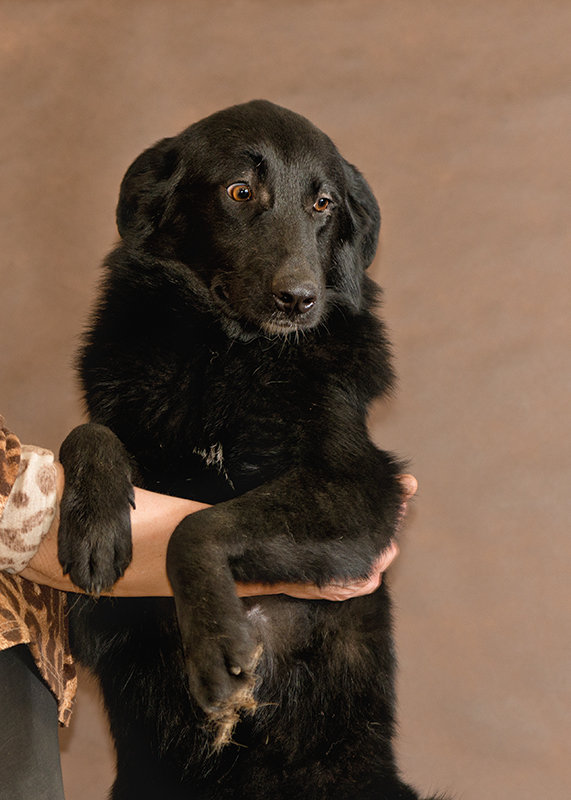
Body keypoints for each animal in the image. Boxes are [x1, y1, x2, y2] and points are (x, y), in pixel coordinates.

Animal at [59, 101, 446, 800]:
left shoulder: (361, 487)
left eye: (322, 203)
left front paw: (214, 639)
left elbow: (197, 525)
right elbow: (89, 434)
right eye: (240, 192)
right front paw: (92, 526)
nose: (300, 300)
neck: (230, 356)